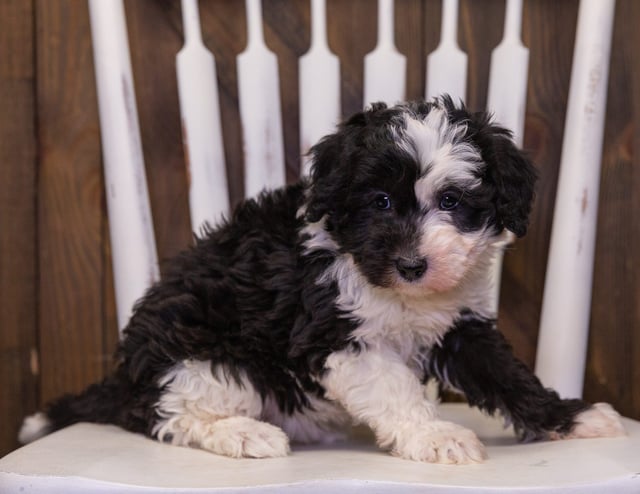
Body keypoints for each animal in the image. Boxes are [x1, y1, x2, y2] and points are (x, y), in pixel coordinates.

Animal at [18, 96, 624, 464]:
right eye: (379, 201)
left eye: (452, 201)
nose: (412, 265)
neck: (392, 290)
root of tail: (125, 377)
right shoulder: (335, 333)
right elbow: (397, 388)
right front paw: (435, 435)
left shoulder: (461, 325)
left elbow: (507, 375)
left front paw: (569, 418)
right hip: (209, 359)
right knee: (170, 416)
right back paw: (243, 433)